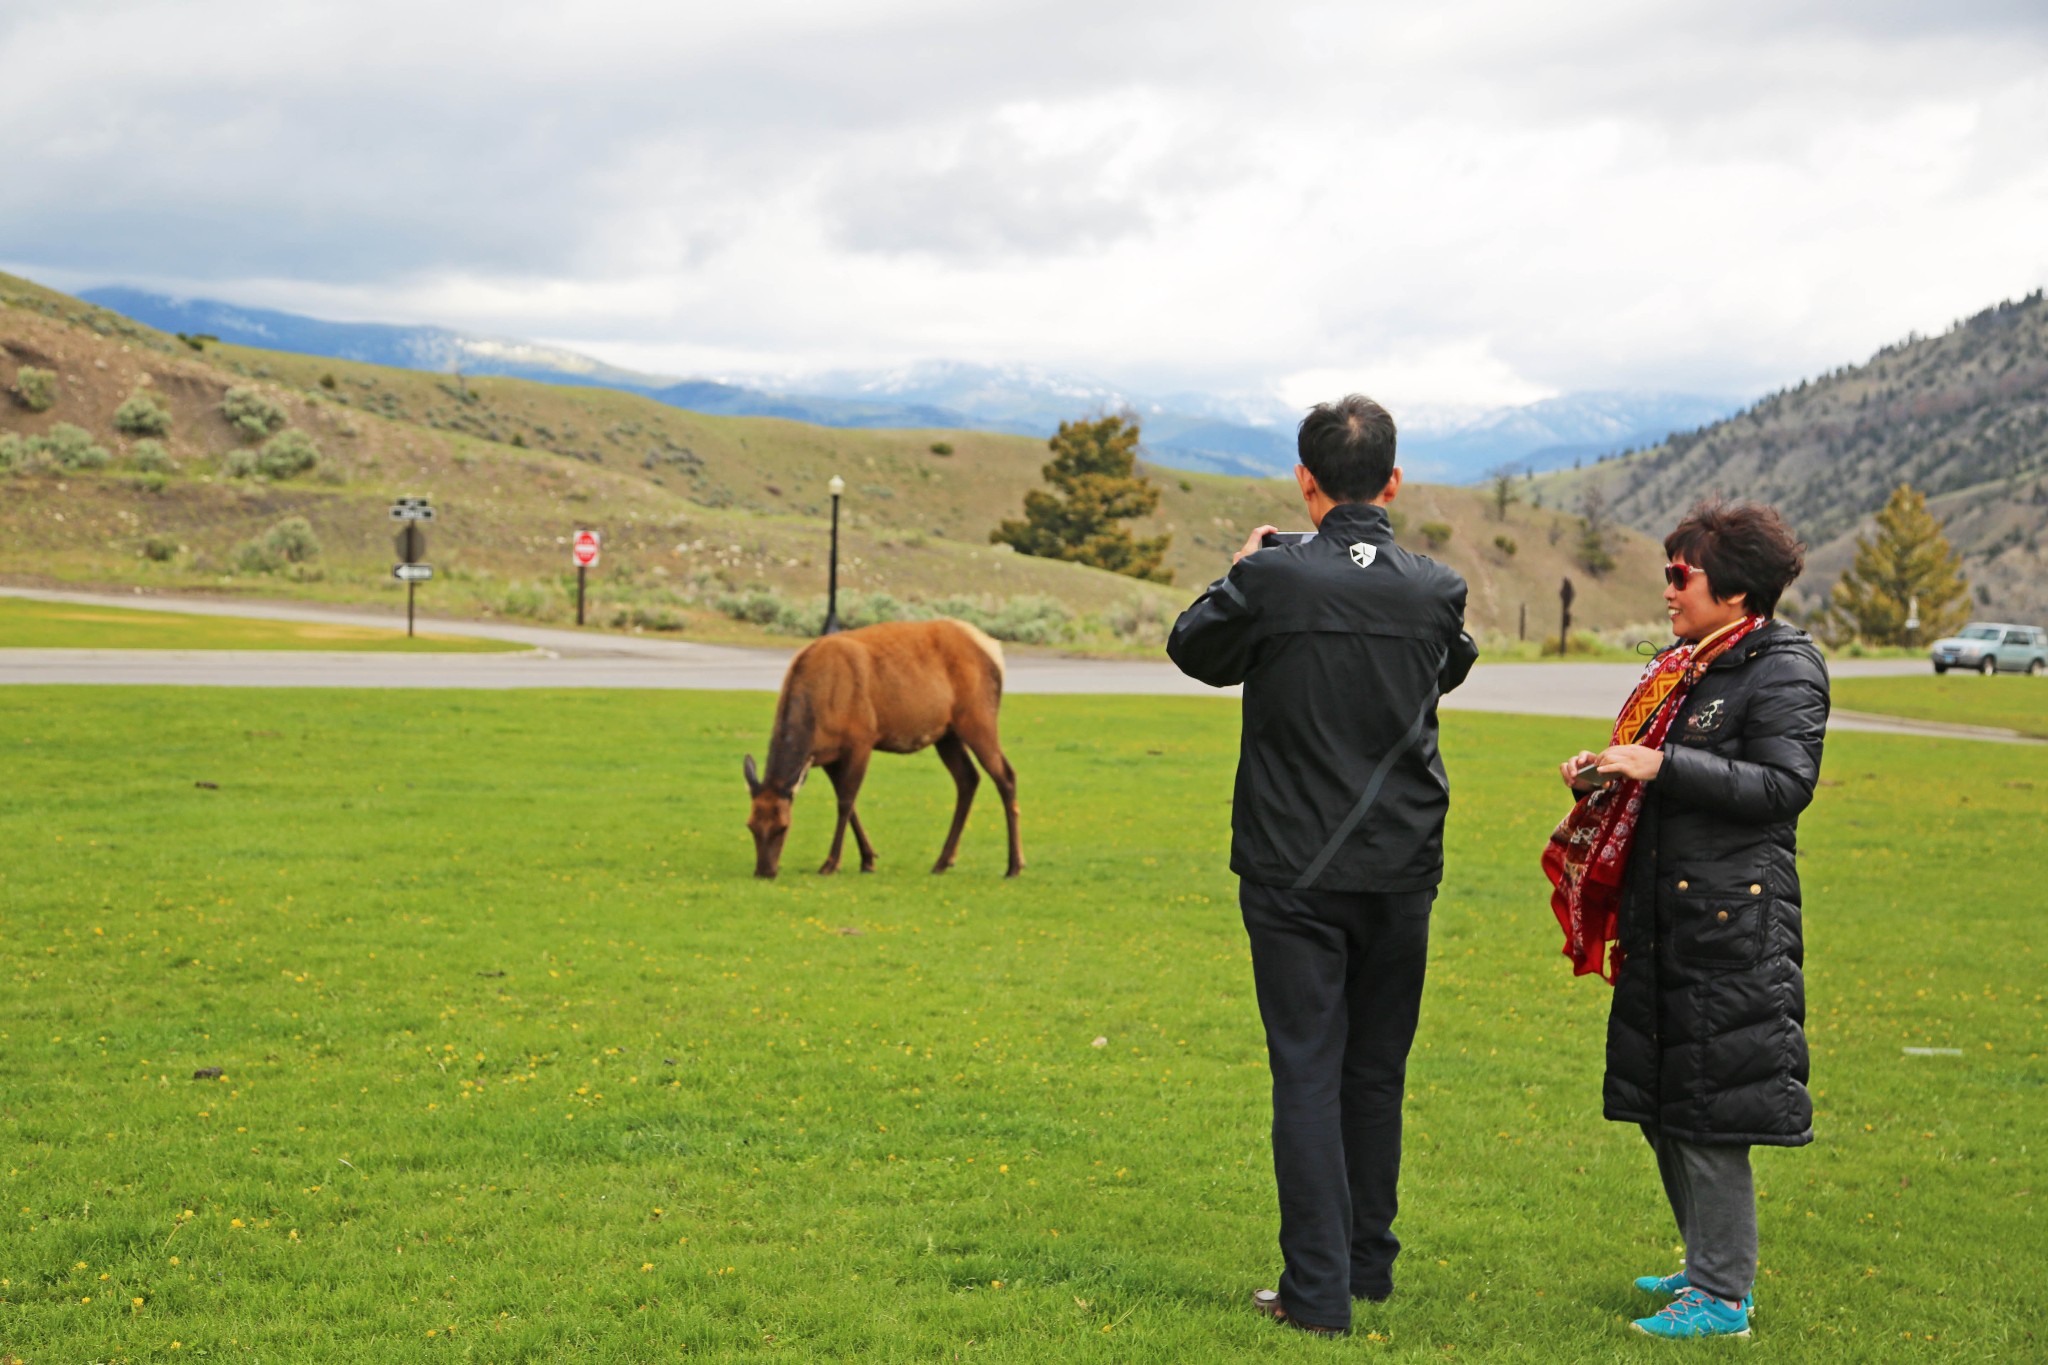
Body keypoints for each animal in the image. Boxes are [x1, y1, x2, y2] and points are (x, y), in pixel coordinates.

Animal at [741, 618, 1019, 875]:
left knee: (1005, 775)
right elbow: (849, 803)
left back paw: (1014, 866)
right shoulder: (826, 755)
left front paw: (831, 863)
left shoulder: (862, 739)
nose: (764, 872)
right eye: (750, 825)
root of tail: (994, 648)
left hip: (978, 717)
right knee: (968, 778)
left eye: (783, 826)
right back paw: (943, 861)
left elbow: (846, 801)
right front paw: (867, 859)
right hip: (947, 734)